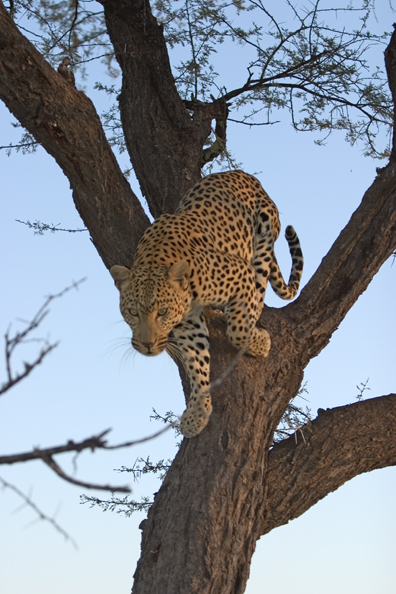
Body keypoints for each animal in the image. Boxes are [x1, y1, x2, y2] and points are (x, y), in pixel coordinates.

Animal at [110, 169, 304, 438]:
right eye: (132, 312)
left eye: (163, 312)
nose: (148, 346)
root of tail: (243, 174)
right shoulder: (188, 322)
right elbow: (197, 362)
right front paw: (198, 413)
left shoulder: (240, 273)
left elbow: (238, 331)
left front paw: (260, 342)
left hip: (264, 234)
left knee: (260, 285)